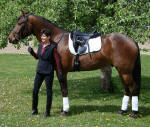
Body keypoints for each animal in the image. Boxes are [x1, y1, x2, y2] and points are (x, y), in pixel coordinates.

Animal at [8, 10, 141, 118]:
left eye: (20, 23)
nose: (10, 38)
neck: (56, 39)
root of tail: (131, 40)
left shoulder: (62, 72)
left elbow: (64, 90)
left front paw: (64, 111)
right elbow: (64, 90)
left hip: (125, 72)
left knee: (133, 88)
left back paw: (133, 113)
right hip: (122, 71)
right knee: (126, 89)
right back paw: (122, 111)